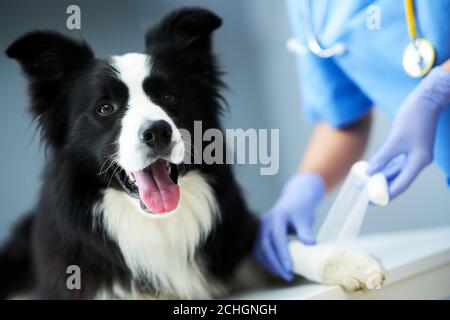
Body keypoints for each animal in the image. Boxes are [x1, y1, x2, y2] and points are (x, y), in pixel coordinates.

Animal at [1, 7, 384, 298]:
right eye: (105, 108)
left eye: (171, 97)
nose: (158, 131)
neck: (156, 223)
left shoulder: (231, 236)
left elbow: (281, 245)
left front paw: (348, 261)